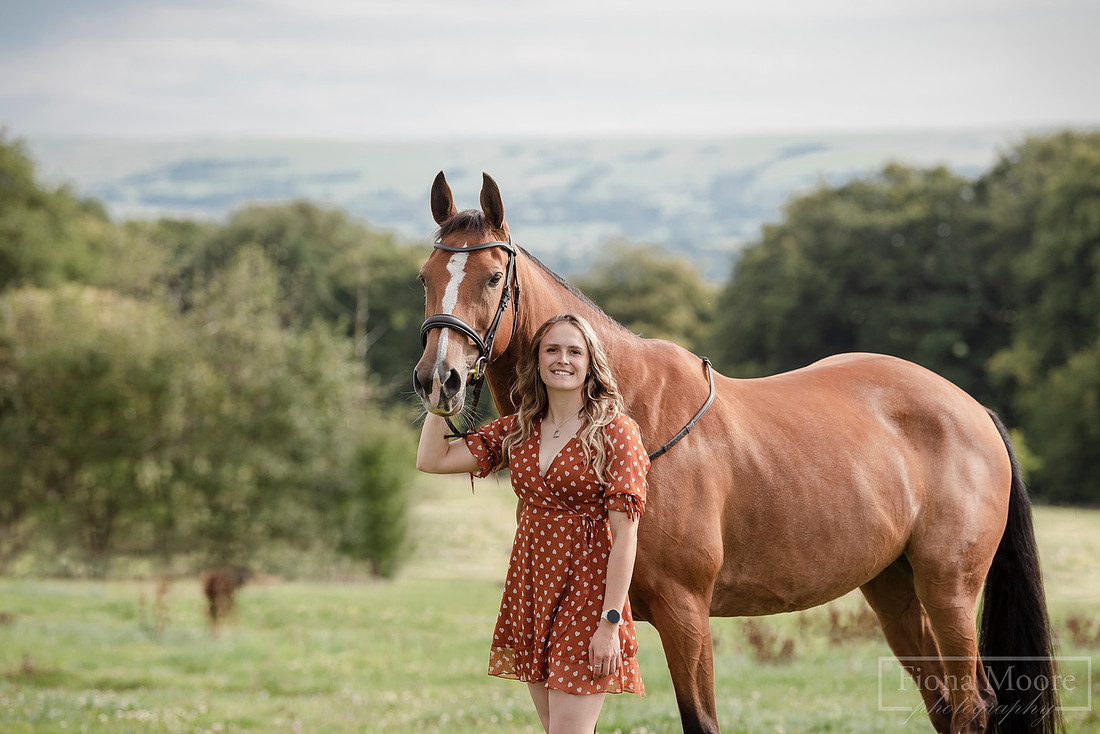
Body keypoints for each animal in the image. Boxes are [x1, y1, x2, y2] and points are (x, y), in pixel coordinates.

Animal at [412, 172, 1060, 734]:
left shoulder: (685, 614)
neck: (630, 407)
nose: (439, 380)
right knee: (948, 707)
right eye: (425, 275)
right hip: (896, 591)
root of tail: (973, 410)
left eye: (492, 276)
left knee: (974, 706)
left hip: (949, 590)